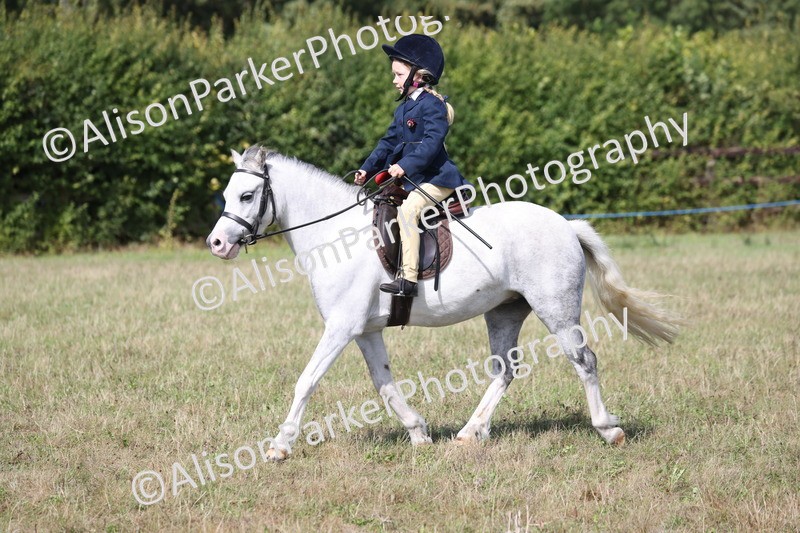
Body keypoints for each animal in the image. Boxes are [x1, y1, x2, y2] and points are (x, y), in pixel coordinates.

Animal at [205, 145, 678, 460]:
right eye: (227, 195)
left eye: (247, 196)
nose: (217, 244)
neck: (335, 237)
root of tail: (566, 225)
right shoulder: (365, 331)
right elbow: (385, 384)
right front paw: (419, 433)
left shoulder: (340, 327)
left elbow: (306, 381)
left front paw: (279, 446)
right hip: (505, 311)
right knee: (505, 370)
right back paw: (470, 433)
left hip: (556, 310)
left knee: (584, 361)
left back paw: (609, 430)